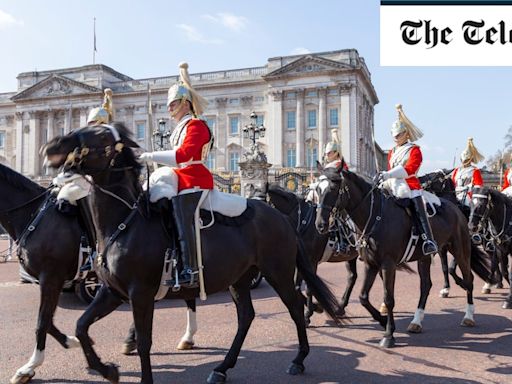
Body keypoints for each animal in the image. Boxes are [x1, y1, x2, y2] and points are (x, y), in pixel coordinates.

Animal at [45, 123, 344, 384]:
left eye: (100, 135)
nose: (52, 147)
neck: (125, 222)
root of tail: (280, 217)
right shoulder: (113, 292)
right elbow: (81, 326)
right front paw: (106, 369)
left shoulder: (140, 293)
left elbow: (144, 342)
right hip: (240, 278)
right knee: (246, 316)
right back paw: (222, 368)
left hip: (278, 272)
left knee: (294, 306)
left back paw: (299, 359)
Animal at [316, 164, 492, 346]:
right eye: (317, 189)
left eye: (333, 188)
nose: (320, 224)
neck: (375, 216)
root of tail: (455, 207)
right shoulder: (371, 264)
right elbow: (363, 297)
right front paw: (383, 321)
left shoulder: (388, 264)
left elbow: (388, 298)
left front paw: (388, 335)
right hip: (425, 257)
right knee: (426, 285)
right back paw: (416, 321)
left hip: (460, 251)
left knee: (469, 279)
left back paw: (468, 316)